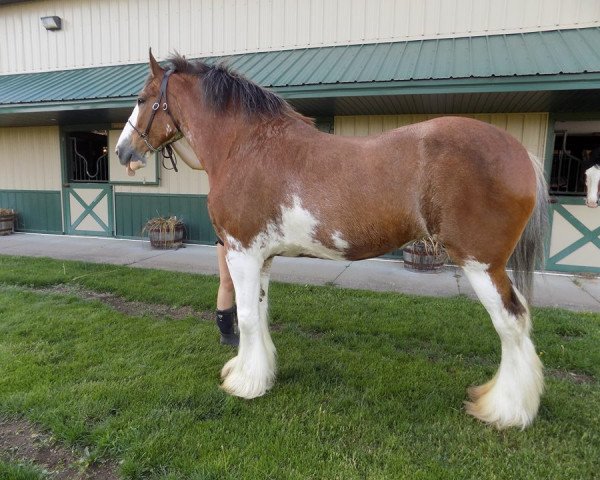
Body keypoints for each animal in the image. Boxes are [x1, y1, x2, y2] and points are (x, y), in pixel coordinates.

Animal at [116, 51, 548, 428]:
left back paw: (506, 411)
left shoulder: (242, 252)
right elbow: (262, 313)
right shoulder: (263, 258)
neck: (245, 145)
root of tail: (521, 153)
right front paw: (260, 373)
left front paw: (245, 384)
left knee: (510, 322)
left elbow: (250, 318)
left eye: (141, 99)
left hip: (480, 263)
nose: (123, 152)